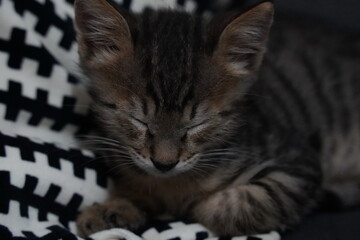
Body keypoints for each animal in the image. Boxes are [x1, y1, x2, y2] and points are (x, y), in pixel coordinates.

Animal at [73, 0, 360, 237]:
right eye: (138, 121)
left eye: (197, 124)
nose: (164, 164)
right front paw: (112, 210)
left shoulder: (298, 165)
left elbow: (234, 205)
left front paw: (188, 205)